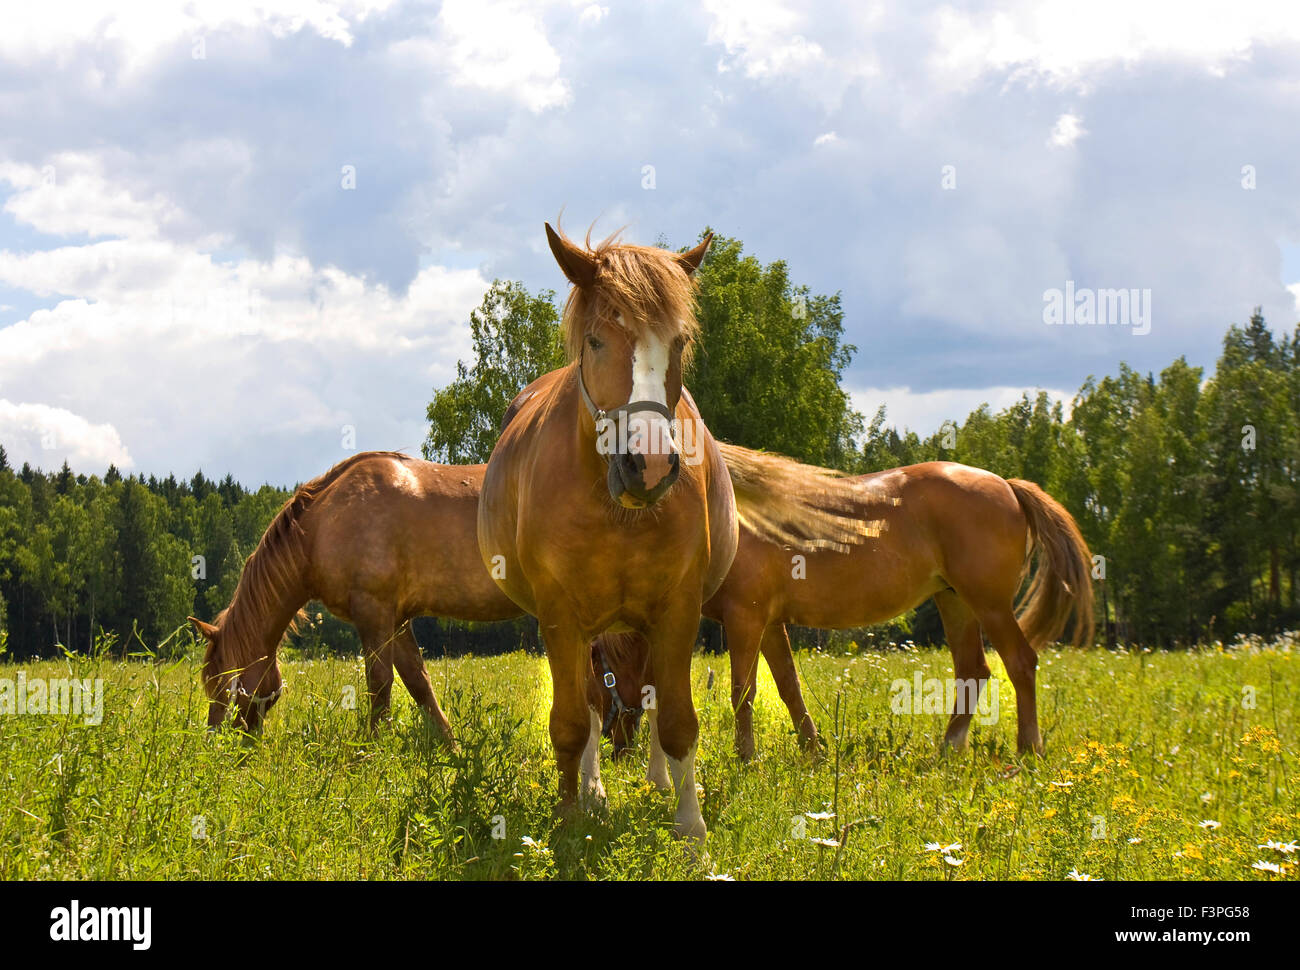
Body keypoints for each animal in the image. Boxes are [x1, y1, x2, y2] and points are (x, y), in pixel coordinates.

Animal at [189, 451, 525, 736]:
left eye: (228, 688)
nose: (219, 743)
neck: (324, 524)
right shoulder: (398, 620)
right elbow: (418, 684)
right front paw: (451, 750)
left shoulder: (373, 611)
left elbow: (379, 683)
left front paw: (373, 752)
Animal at [477, 224, 869, 841]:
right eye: (595, 341)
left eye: (680, 342)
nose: (652, 464)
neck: (615, 508)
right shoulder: (561, 617)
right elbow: (572, 722)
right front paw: (570, 819)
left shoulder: (677, 609)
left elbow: (678, 720)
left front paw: (690, 831)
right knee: (589, 708)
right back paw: (594, 789)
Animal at [593, 460, 1095, 760]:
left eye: (598, 670)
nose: (614, 751)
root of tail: (1005, 484)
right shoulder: (770, 624)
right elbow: (789, 687)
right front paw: (813, 752)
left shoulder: (746, 619)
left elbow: (743, 692)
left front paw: (745, 758)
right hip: (955, 602)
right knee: (973, 671)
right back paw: (949, 749)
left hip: (988, 604)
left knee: (1020, 663)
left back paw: (1028, 751)